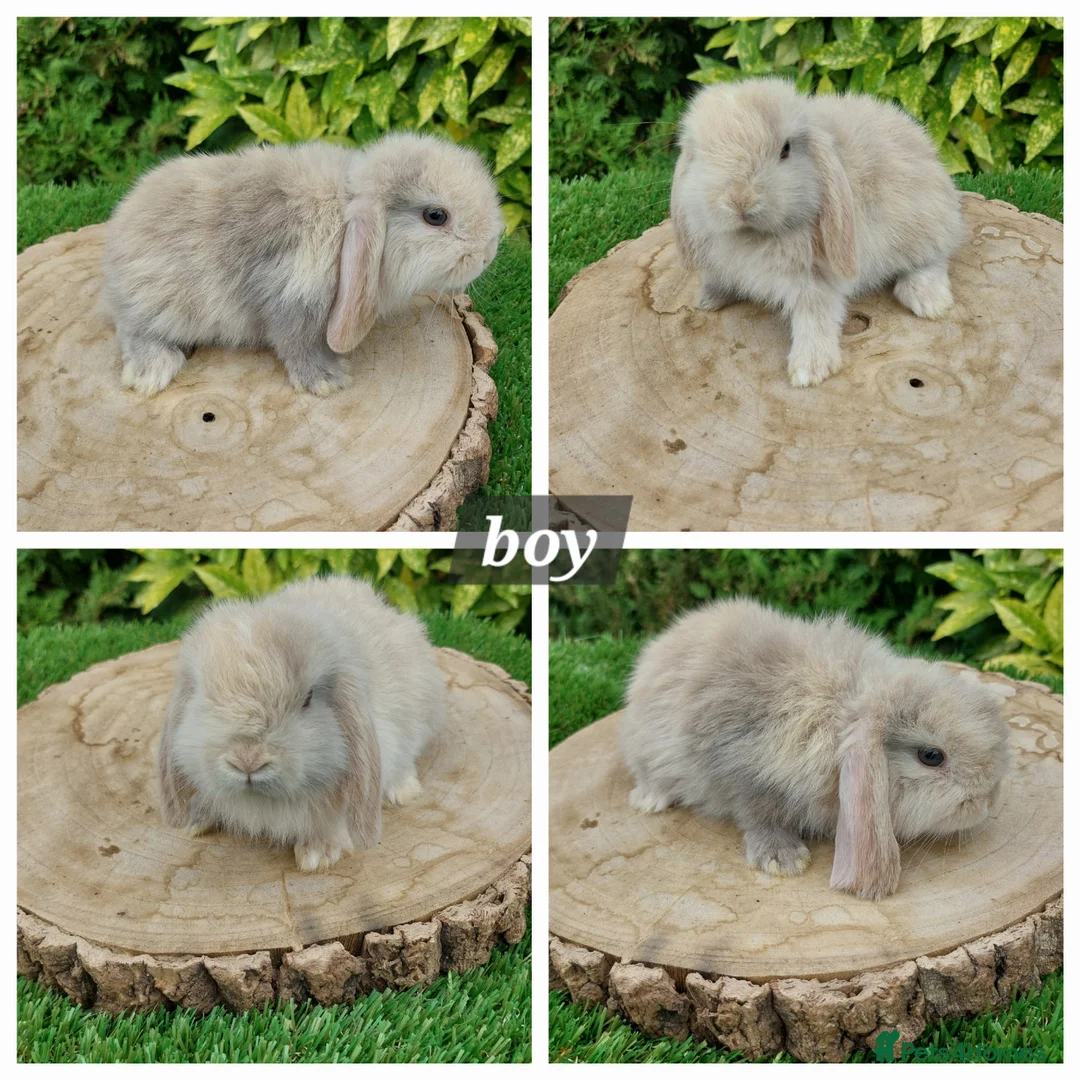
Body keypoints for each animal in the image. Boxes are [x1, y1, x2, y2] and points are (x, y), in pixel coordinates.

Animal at [104, 132, 502, 396]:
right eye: (436, 216)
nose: (488, 252)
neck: (344, 215)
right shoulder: (293, 299)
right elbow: (297, 344)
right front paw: (328, 381)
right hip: (160, 303)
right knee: (132, 331)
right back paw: (151, 371)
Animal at [157, 574, 445, 872]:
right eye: (203, 695)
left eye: (308, 698)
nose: (248, 761)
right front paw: (196, 819)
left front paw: (317, 856)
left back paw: (402, 791)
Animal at [619, 598, 1010, 900]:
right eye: (931, 756)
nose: (987, 800)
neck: (835, 718)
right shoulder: (742, 772)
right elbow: (759, 815)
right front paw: (785, 861)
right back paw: (649, 801)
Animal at [669, 77, 966, 388]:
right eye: (701, 155)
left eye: (786, 149)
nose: (740, 200)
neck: (751, 236)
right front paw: (709, 298)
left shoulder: (817, 278)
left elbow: (814, 316)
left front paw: (809, 370)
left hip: (922, 227)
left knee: (936, 257)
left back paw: (927, 299)